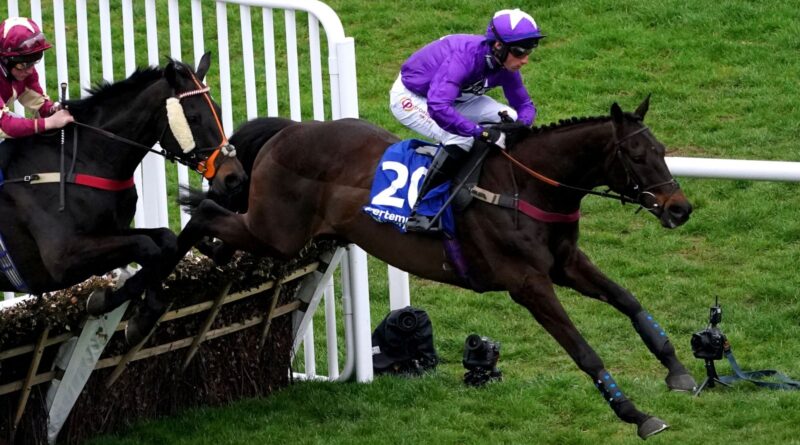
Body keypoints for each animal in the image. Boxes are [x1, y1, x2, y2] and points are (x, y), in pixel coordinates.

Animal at [0, 53, 245, 312]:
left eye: (218, 110)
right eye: (193, 117)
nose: (234, 177)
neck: (79, 162)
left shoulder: (114, 230)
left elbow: (165, 239)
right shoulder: (63, 259)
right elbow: (146, 246)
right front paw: (125, 304)